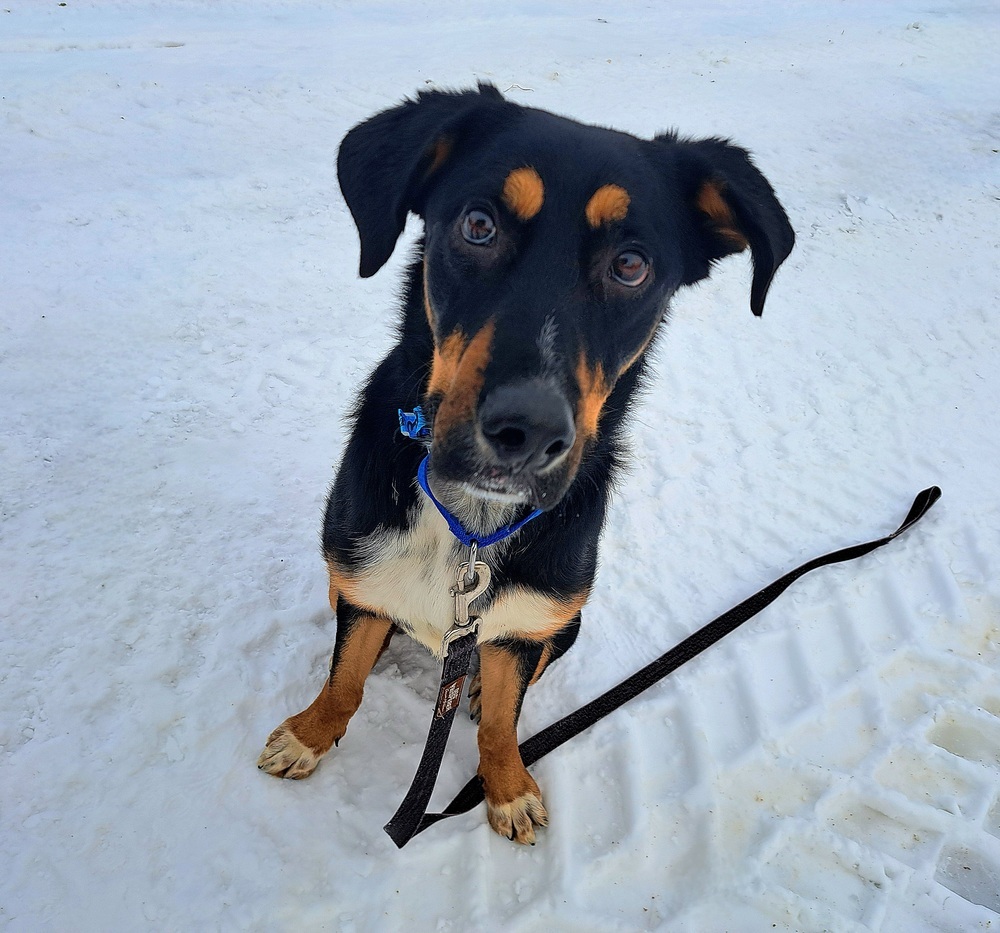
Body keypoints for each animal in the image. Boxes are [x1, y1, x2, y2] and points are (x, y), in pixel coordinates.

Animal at [260, 83, 796, 844]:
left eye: (632, 264)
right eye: (479, 225)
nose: (529, 430)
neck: (471, 525)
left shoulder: (527, 622)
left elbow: (502, 719)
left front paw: (507, 788)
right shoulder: (364, 579)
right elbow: (346, 678)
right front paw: (308, 735)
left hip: (564, 623)